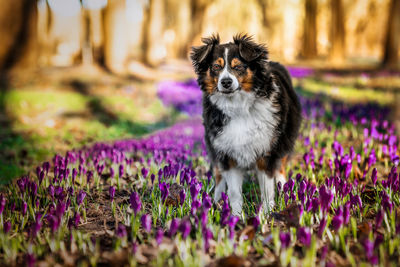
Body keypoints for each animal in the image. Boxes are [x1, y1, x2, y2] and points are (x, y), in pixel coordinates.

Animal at [192, 34, 302, 217]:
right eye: (216, 67)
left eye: (238, 66)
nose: (226, 82)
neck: (239, 107)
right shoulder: (227, 153)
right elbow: (234, 192)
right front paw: (236, 216)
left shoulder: (266, 152)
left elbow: (266, 189)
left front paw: (265, 215)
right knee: (218, 175)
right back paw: (216, 201)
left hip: (284, 139)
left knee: (280, 167)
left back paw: (285, 191)